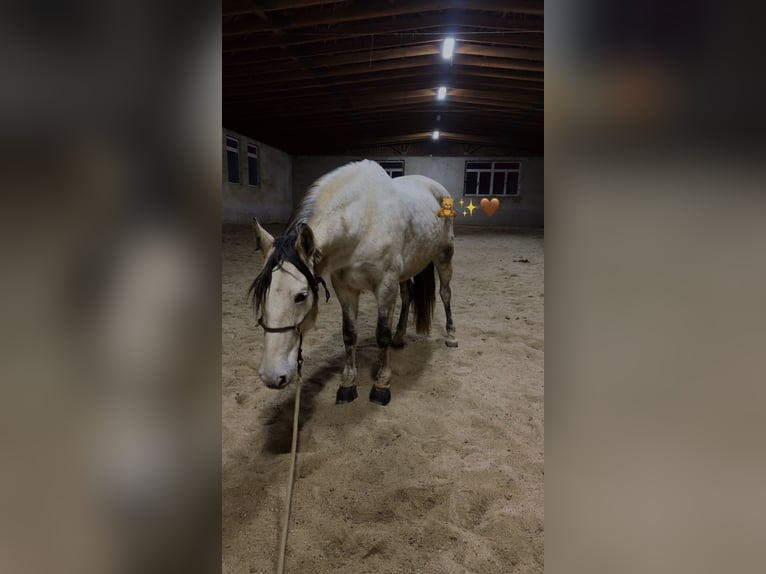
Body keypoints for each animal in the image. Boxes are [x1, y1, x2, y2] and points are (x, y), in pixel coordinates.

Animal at [248, 160, 457, 406]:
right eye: (261, 296)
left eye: (300, 296)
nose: (271, 376)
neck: (362, 223)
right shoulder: (345, 289)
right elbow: (349, 334)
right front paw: (347, 384)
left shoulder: (385, 287)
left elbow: (382, 335)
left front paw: (382, 384)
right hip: (406, 271)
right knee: (408, 296)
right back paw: (399, 337)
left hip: (444, 257)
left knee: (445, 293)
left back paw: (451, 336)